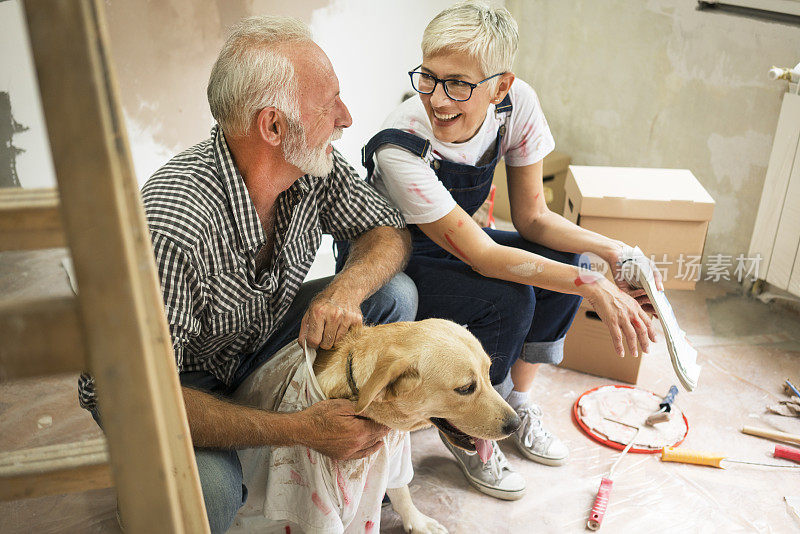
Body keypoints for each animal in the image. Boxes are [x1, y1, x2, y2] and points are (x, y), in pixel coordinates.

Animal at [228, 320, 520, 532]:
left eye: (489, 373)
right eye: (466, 388)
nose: (515, 424)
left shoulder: (395, 456)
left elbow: (402, 492)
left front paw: (418, 522)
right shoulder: (318, 504)